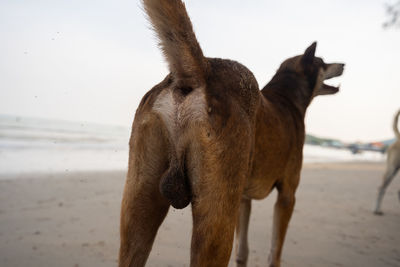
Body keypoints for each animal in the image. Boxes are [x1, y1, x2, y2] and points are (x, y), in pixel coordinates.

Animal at [119, 1, 344, 266]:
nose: (343, 64)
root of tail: (204, 69)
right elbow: (275, 252)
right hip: (217, 219)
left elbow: (243, 249)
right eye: (323, 62)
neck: (287, 97)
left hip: (139, 208)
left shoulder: (244, 200)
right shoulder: (288, 195)